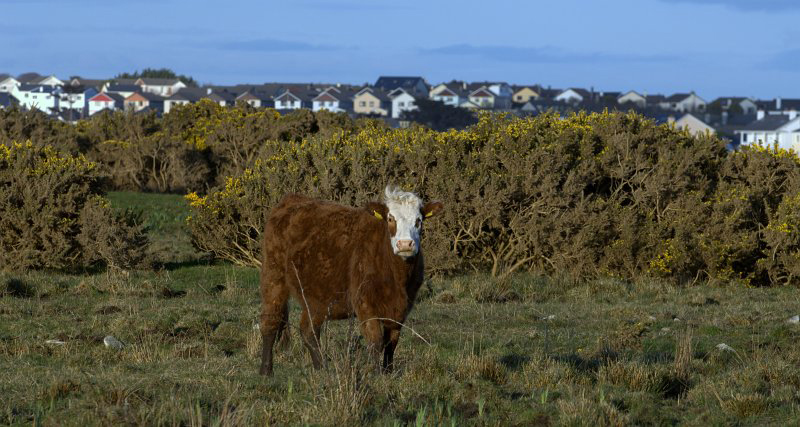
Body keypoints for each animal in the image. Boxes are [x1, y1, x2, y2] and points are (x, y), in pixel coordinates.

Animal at [260, 186, 444, 376]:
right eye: (390, 218)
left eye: (419, 220)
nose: (405, 244)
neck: (397, 279)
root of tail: (292, 199)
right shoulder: (365, 304)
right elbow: (376, 342)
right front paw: (376, 375)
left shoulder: (400, 309)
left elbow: (391, 343)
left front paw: (388, 373)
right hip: (274, 276)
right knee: (270, 321)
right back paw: (266, 370)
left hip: (317, 294)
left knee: (308, 330)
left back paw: (322, 370)